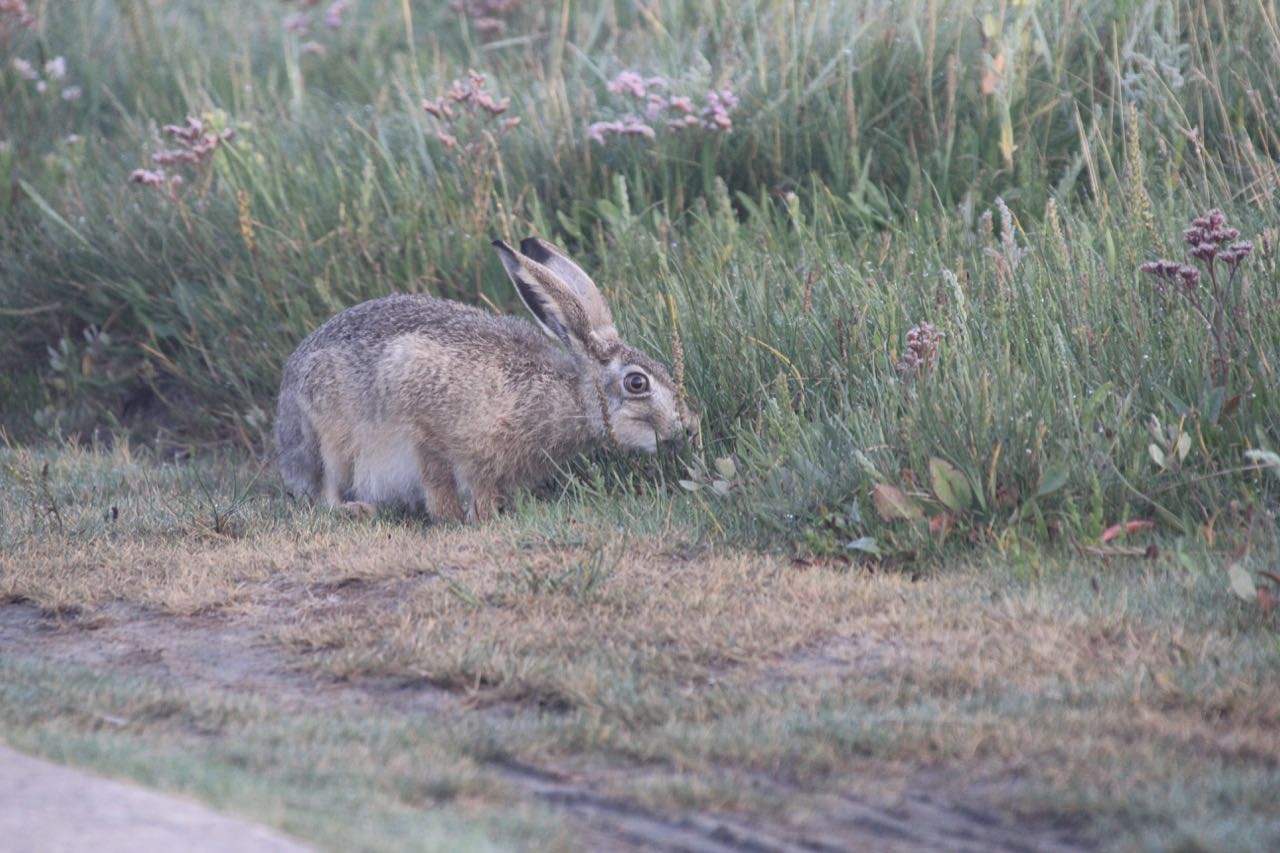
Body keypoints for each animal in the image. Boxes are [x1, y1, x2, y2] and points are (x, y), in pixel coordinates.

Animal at [274, 237, 697, 522]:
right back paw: (355, 509)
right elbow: (439, 476)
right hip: (328, 436)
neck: (569, 397)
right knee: (325, 491)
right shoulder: (423, 412)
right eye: (637, 383)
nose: (690, 427)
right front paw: (459, 517)